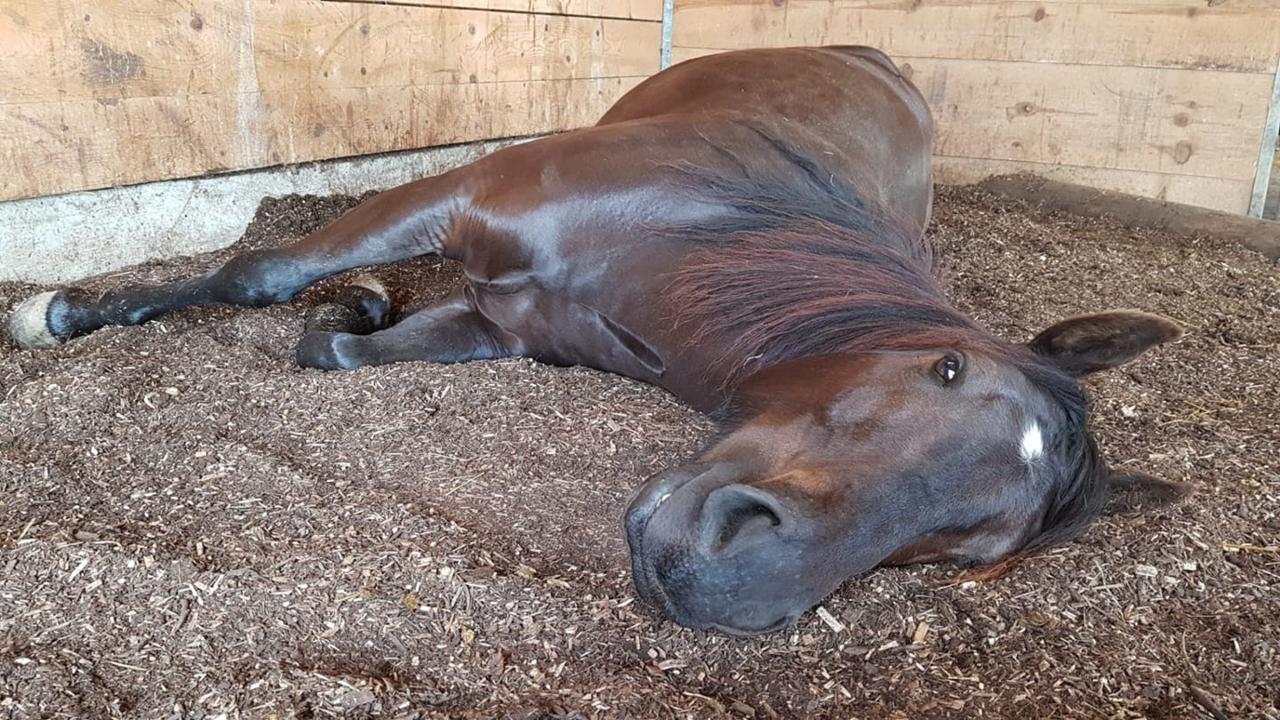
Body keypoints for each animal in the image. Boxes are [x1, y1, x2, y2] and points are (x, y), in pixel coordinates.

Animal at [8, 46, 1184, 636]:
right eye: (945, 367)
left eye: (965, 554)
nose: (715, 583)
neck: (669, 239)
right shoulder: (456, 194)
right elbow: (258, 275)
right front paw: (63, 314)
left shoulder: (495, 327)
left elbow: (329, 352)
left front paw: (357, 308)